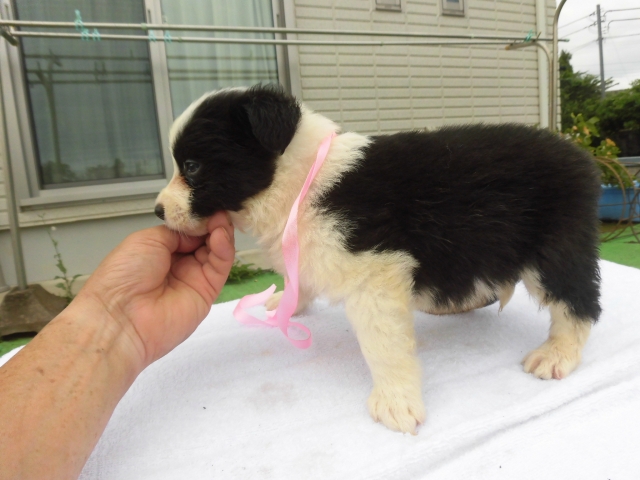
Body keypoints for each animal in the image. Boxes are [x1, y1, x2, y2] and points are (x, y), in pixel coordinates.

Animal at [155, 84, 601, 434]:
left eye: (192, 166)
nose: (158, 211)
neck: (302, 183)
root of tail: (579, 154)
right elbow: (301, 279)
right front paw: (286, 302)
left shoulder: (376, 272)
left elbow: (383, 346)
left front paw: (396, 402)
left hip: (555, 246)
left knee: (579, 301)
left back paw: (557, 354)